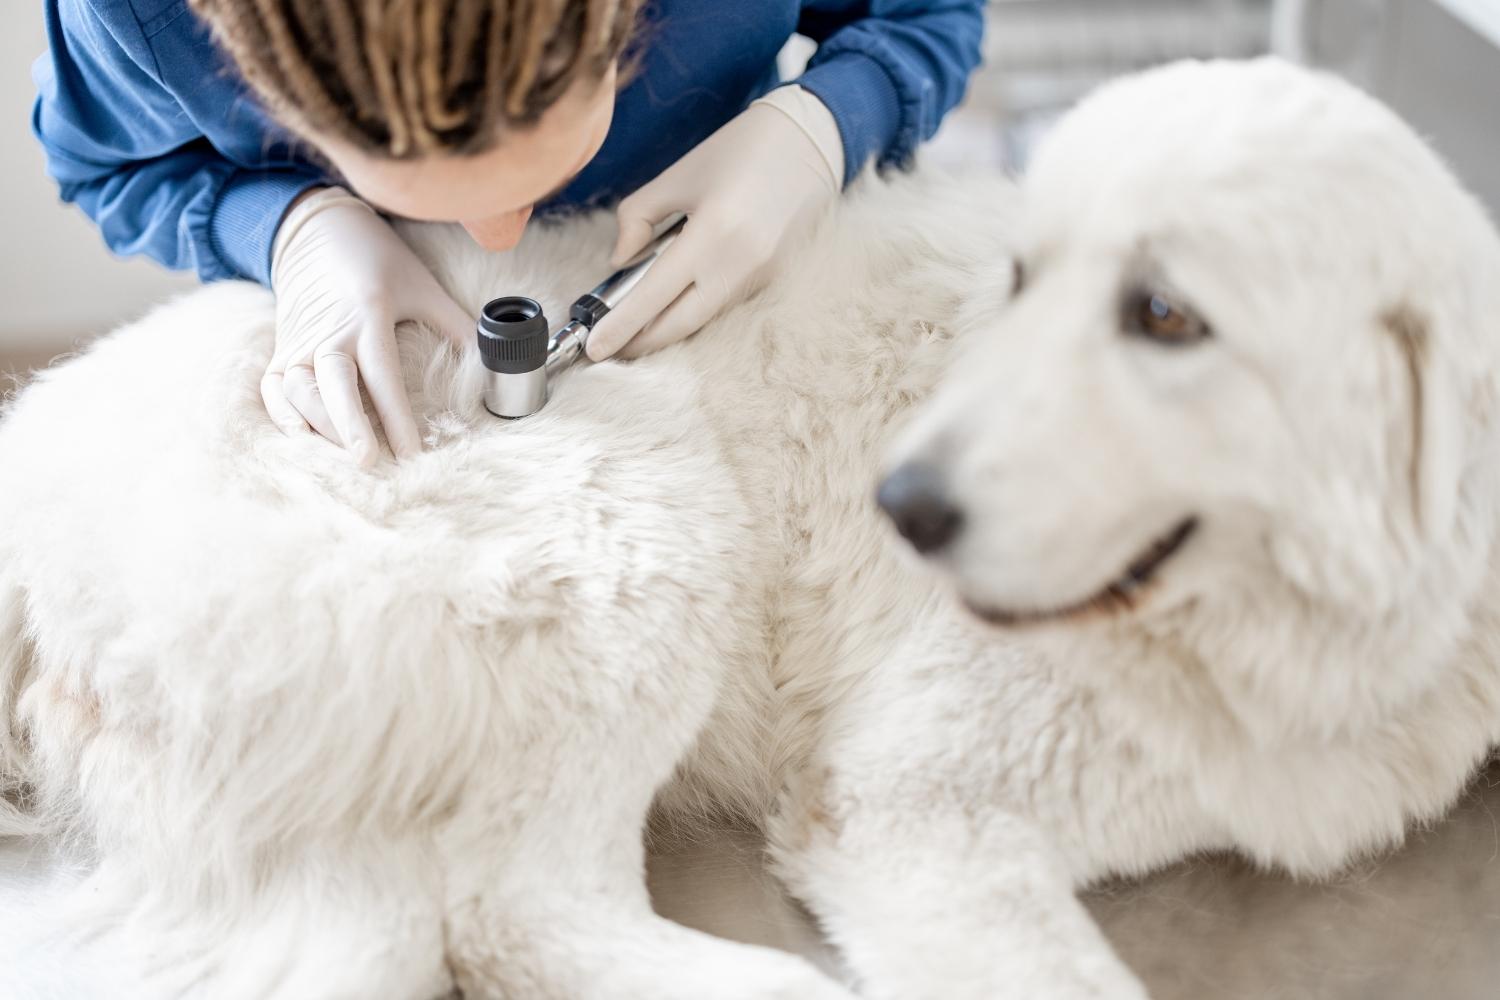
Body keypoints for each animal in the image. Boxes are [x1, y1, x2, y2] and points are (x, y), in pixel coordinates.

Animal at [2, 60, 1500, 1000]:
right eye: (1031, 287)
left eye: (1168, 317)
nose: (910, 502)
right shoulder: (914, 809)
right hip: (647, 531)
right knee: (515, 916)